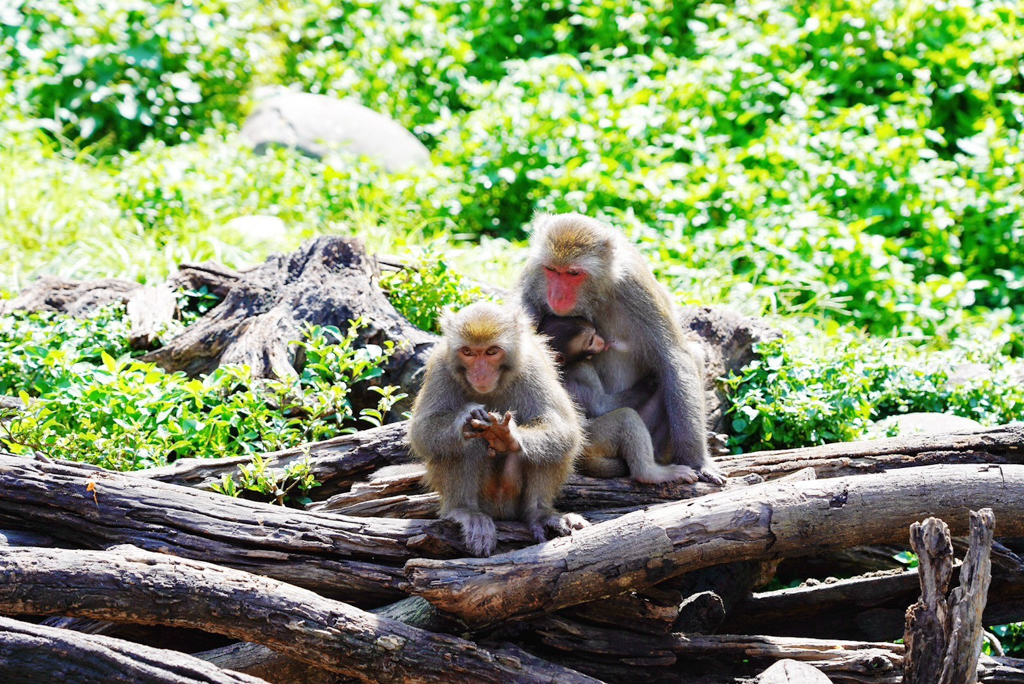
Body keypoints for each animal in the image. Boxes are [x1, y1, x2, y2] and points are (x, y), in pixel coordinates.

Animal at [405, 301, 589, 557]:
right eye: (468, 352)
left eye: (492, 352)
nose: (481, 373)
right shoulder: (441, 365)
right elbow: (422, 432)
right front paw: (466, 418)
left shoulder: (532, 365)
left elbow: (563, 429)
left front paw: (508, 437)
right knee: (463, 444)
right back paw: (466, 511)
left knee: (548, 450)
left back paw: (540, 514)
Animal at [536, 315, 696, 485]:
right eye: (590, 340)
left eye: (594, 331)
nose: (601, 340)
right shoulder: (582, 369)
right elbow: (601, 406)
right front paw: (645, 386)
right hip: (593, 439)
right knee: (626, 417)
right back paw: (650, 474)